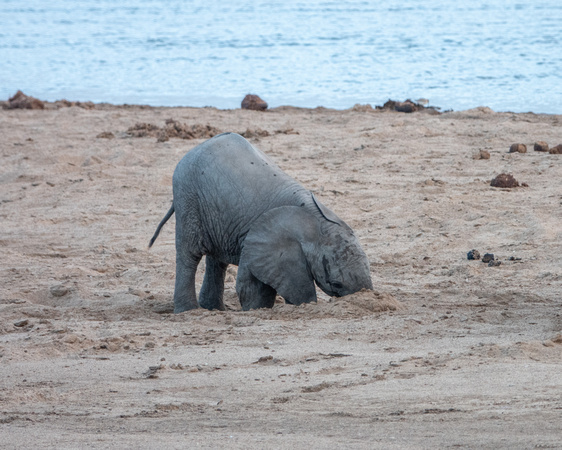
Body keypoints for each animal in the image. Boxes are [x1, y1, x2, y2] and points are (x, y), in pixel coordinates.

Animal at [149, 132, 372, 312]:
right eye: (336, 284)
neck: (314, 219)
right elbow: (250, 284)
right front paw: (257, 310)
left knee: (217, 261)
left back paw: (214, 309)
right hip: (188, 198)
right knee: (190, 255)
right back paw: (188, 311)